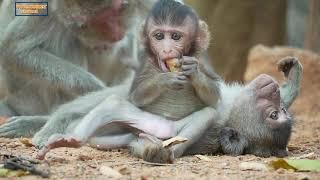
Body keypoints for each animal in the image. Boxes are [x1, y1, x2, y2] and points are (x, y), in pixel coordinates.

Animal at [0, 0, 156, 137]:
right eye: (86, 24)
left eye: (113, 13)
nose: (115, 33)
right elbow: (14, 48)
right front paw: (94, 88)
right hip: (28, 98)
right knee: (66, 38)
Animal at [34, 0, 300, 163]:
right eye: (280, 111)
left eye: (274, 115)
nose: (273, 89)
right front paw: (292, 76)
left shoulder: (214, 128)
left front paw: (155, 152)